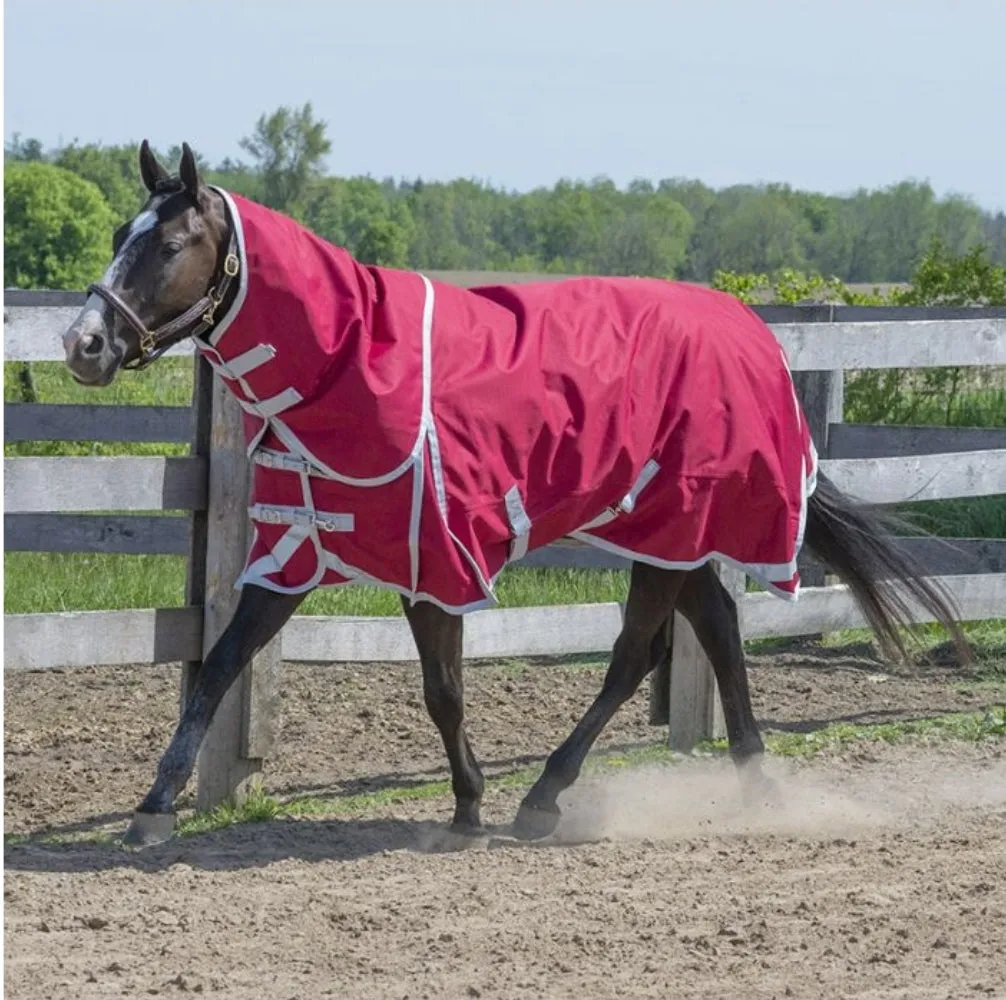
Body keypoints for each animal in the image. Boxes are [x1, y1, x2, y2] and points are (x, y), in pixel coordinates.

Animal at [60, 140, 965, 845]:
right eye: (119, 234)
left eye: (171, 243)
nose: (83, 344)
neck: (349, 365)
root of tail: (754, 332)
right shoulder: (299, 550)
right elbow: (219, 667)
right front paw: (153, 806)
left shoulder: (438, 565)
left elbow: (445, 691)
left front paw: (470, 804)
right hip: (669, 533)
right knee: (717, 625)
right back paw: (753, 780)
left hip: (670, 532)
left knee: (633, 656)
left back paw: (546, 798)